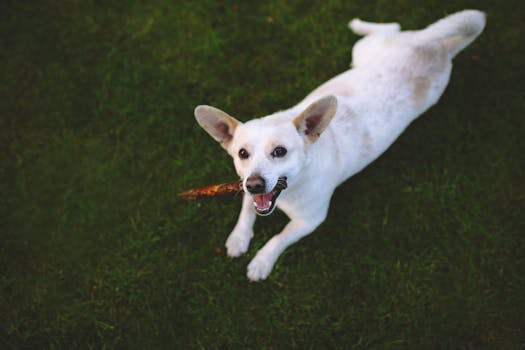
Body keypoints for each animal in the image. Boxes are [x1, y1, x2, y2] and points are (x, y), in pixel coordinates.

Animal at [194, 9, 486, 280]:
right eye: (242, 153)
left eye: (280, 152)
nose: (255, 184)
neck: (292, 188)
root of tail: (440, 48)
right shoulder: (246, 187)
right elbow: (246, 209)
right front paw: (238, 238)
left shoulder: (309, 221)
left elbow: (279, 238)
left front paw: (261, 262)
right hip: (365, 54)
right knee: (392, 27)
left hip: (371, 52)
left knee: (391, 26)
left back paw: (358, 24)